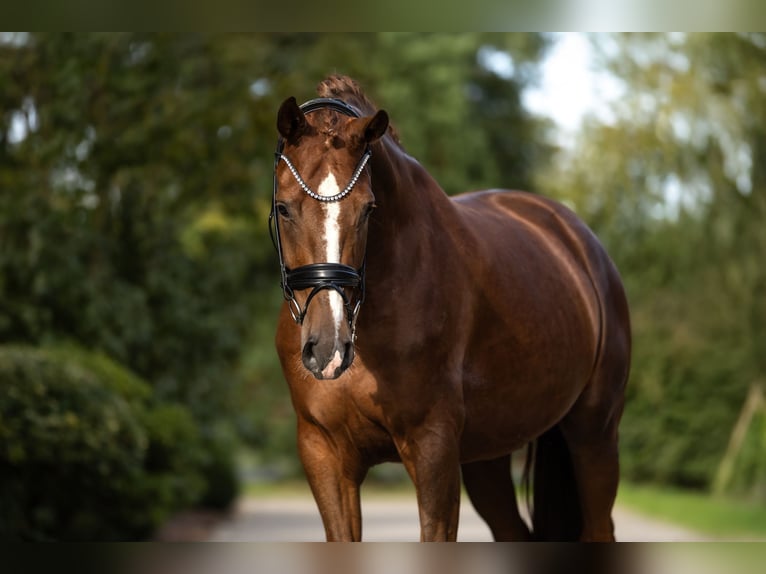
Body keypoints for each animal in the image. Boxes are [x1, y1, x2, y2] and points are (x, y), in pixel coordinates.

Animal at [270, 75, 631, 541]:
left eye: (368, 209)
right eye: (283, 208)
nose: (328, 349)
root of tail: (581, 243)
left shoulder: (433, 450)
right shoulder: (324, 453)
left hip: (595, 437)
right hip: (489, 457)